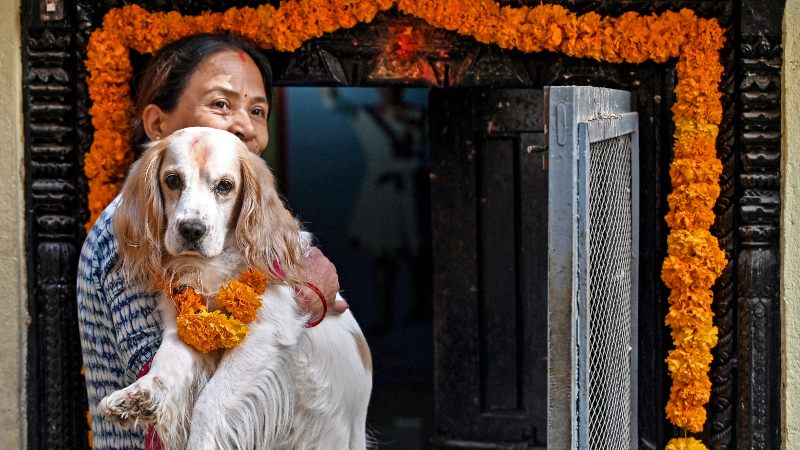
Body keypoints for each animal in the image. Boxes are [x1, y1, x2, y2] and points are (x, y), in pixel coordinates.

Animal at [99, 127, 372, 450]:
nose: (191, 229)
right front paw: (139, 394)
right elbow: (164, 363)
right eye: (173, 180)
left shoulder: (265, 334)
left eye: (225, 186)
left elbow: (209, 402)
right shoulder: (181, 329)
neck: (212, 268)